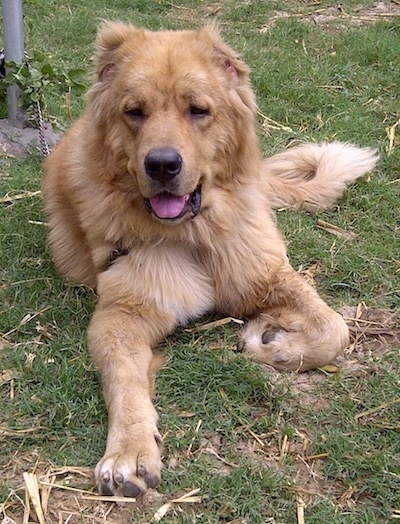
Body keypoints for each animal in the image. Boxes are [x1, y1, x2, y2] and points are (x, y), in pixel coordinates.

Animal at [42, 22, 380, 498]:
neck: (192, 235)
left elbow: (334, 328)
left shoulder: (265, 273)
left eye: (198, 110)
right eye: (135, 112)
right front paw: (129, 450)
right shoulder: (120, 316)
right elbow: (124, 382)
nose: (162, 165)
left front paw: (274, 345)